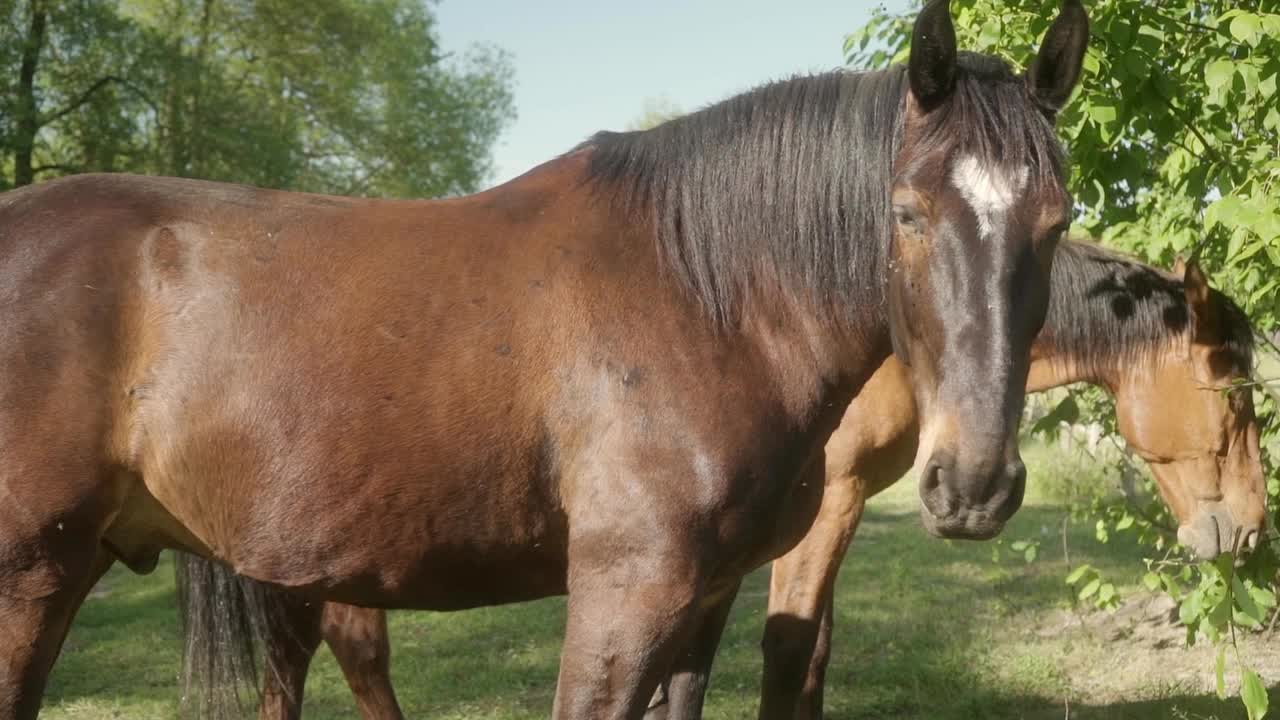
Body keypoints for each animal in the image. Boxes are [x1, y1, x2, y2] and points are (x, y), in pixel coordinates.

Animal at [0, 1, 1090, 712]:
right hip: (34, 578)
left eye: (1057, 219)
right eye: (905, 212)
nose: (972, 485)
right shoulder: (624, 592)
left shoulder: (706, 599)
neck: (703, 293)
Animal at [180, 240, 1269, 717]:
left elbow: (754, 659)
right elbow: (790, 653)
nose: (1249, 532)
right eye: (1234, 396)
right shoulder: (820, 510)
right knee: (319, 653)